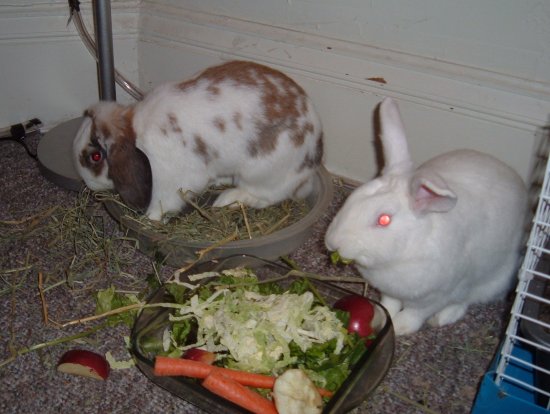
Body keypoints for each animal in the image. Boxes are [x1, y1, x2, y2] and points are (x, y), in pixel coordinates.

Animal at [73, 60, 324, 222]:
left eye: (96, 156)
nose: (88, 184)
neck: (136, 134)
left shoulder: (169, 180)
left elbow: (162, 203)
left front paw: (149, 219)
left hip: (261, 173)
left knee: (266, 196)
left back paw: (228, 200)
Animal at [328, 98, 532, 336]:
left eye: (384, 220)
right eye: (351, 198)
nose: (332, 243)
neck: (404, 254)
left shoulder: (436, 296)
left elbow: (415, 314)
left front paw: (399, 326)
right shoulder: (390, 290)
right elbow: (389, 304)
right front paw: (384, 316)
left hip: (492, 281)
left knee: (466, 301)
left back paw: (443, 318)